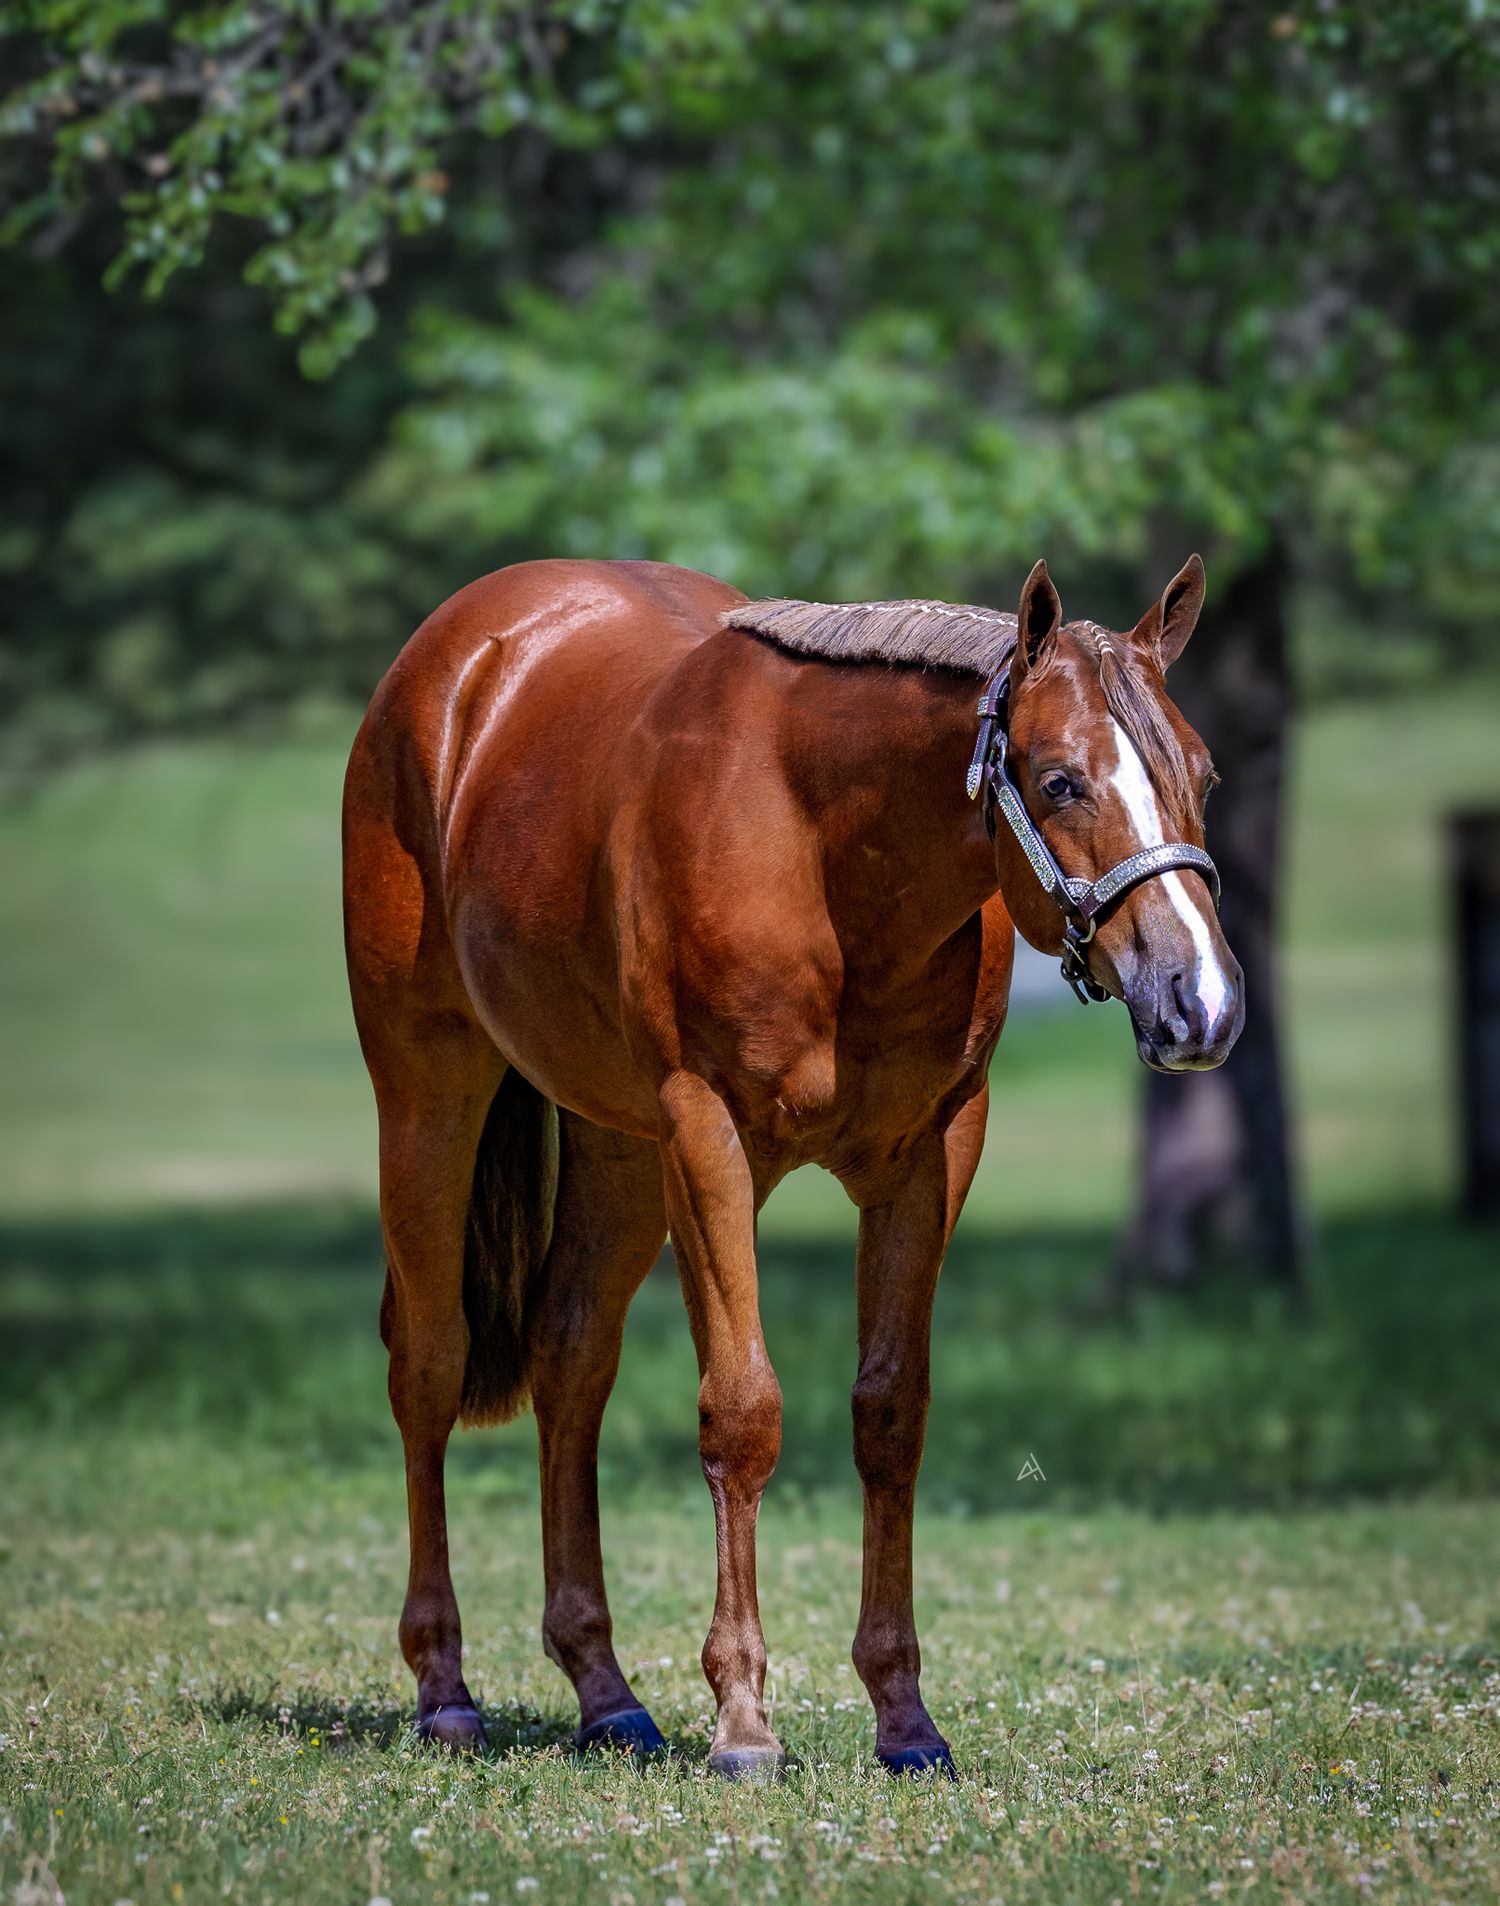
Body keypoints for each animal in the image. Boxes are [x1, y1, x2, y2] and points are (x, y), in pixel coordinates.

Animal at [341, 553, 1243, 1778]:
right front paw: (743, 1720)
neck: (823, 854)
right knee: (429, 1366)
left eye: (1202, 771)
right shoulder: (708, 1136)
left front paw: (905, 1718)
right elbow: (743, 1411)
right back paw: (445, 1689)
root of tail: (457, 655)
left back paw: (607, 1694)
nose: (1202, 1001)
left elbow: (890, 1414)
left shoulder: (929, 1154)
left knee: (570, 1360)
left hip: (619, 1152)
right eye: (1059, 782)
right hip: (431, 1094)